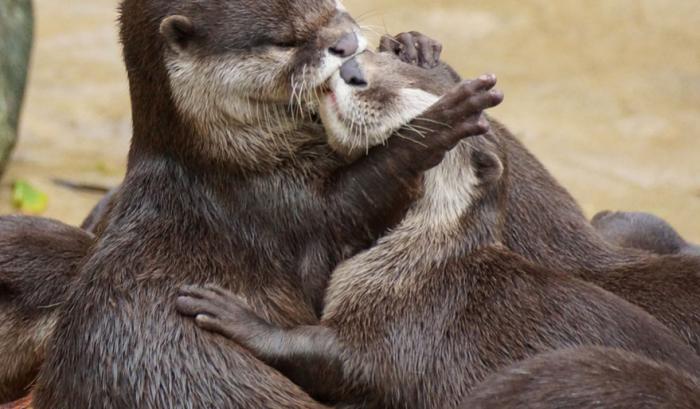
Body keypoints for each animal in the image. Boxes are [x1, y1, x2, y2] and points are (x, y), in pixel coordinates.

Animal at [32, 1, 504, 406]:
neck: (234, 161)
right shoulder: (279, 211)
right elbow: (357, 198)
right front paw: (437, 125)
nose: (346, 44)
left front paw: (416, 46)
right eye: (283, 42)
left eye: (328, 2)